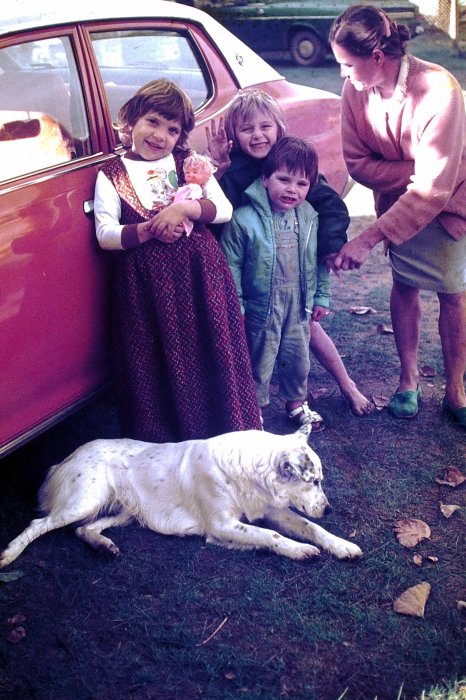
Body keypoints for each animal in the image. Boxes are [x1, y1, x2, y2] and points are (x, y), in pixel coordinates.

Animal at [0, 424, 364, 568]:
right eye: (314, 482)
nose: (329, 509)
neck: (246, 470)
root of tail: (65, 459)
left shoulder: (269, 511)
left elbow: (311, 527)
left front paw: (341, 546)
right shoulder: (222, 524)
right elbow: (271, 536)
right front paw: (299, 550)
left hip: (125, 510)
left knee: (84, 529)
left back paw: (104, 546)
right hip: (85, 499)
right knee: (38, 524)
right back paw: (9, 554)